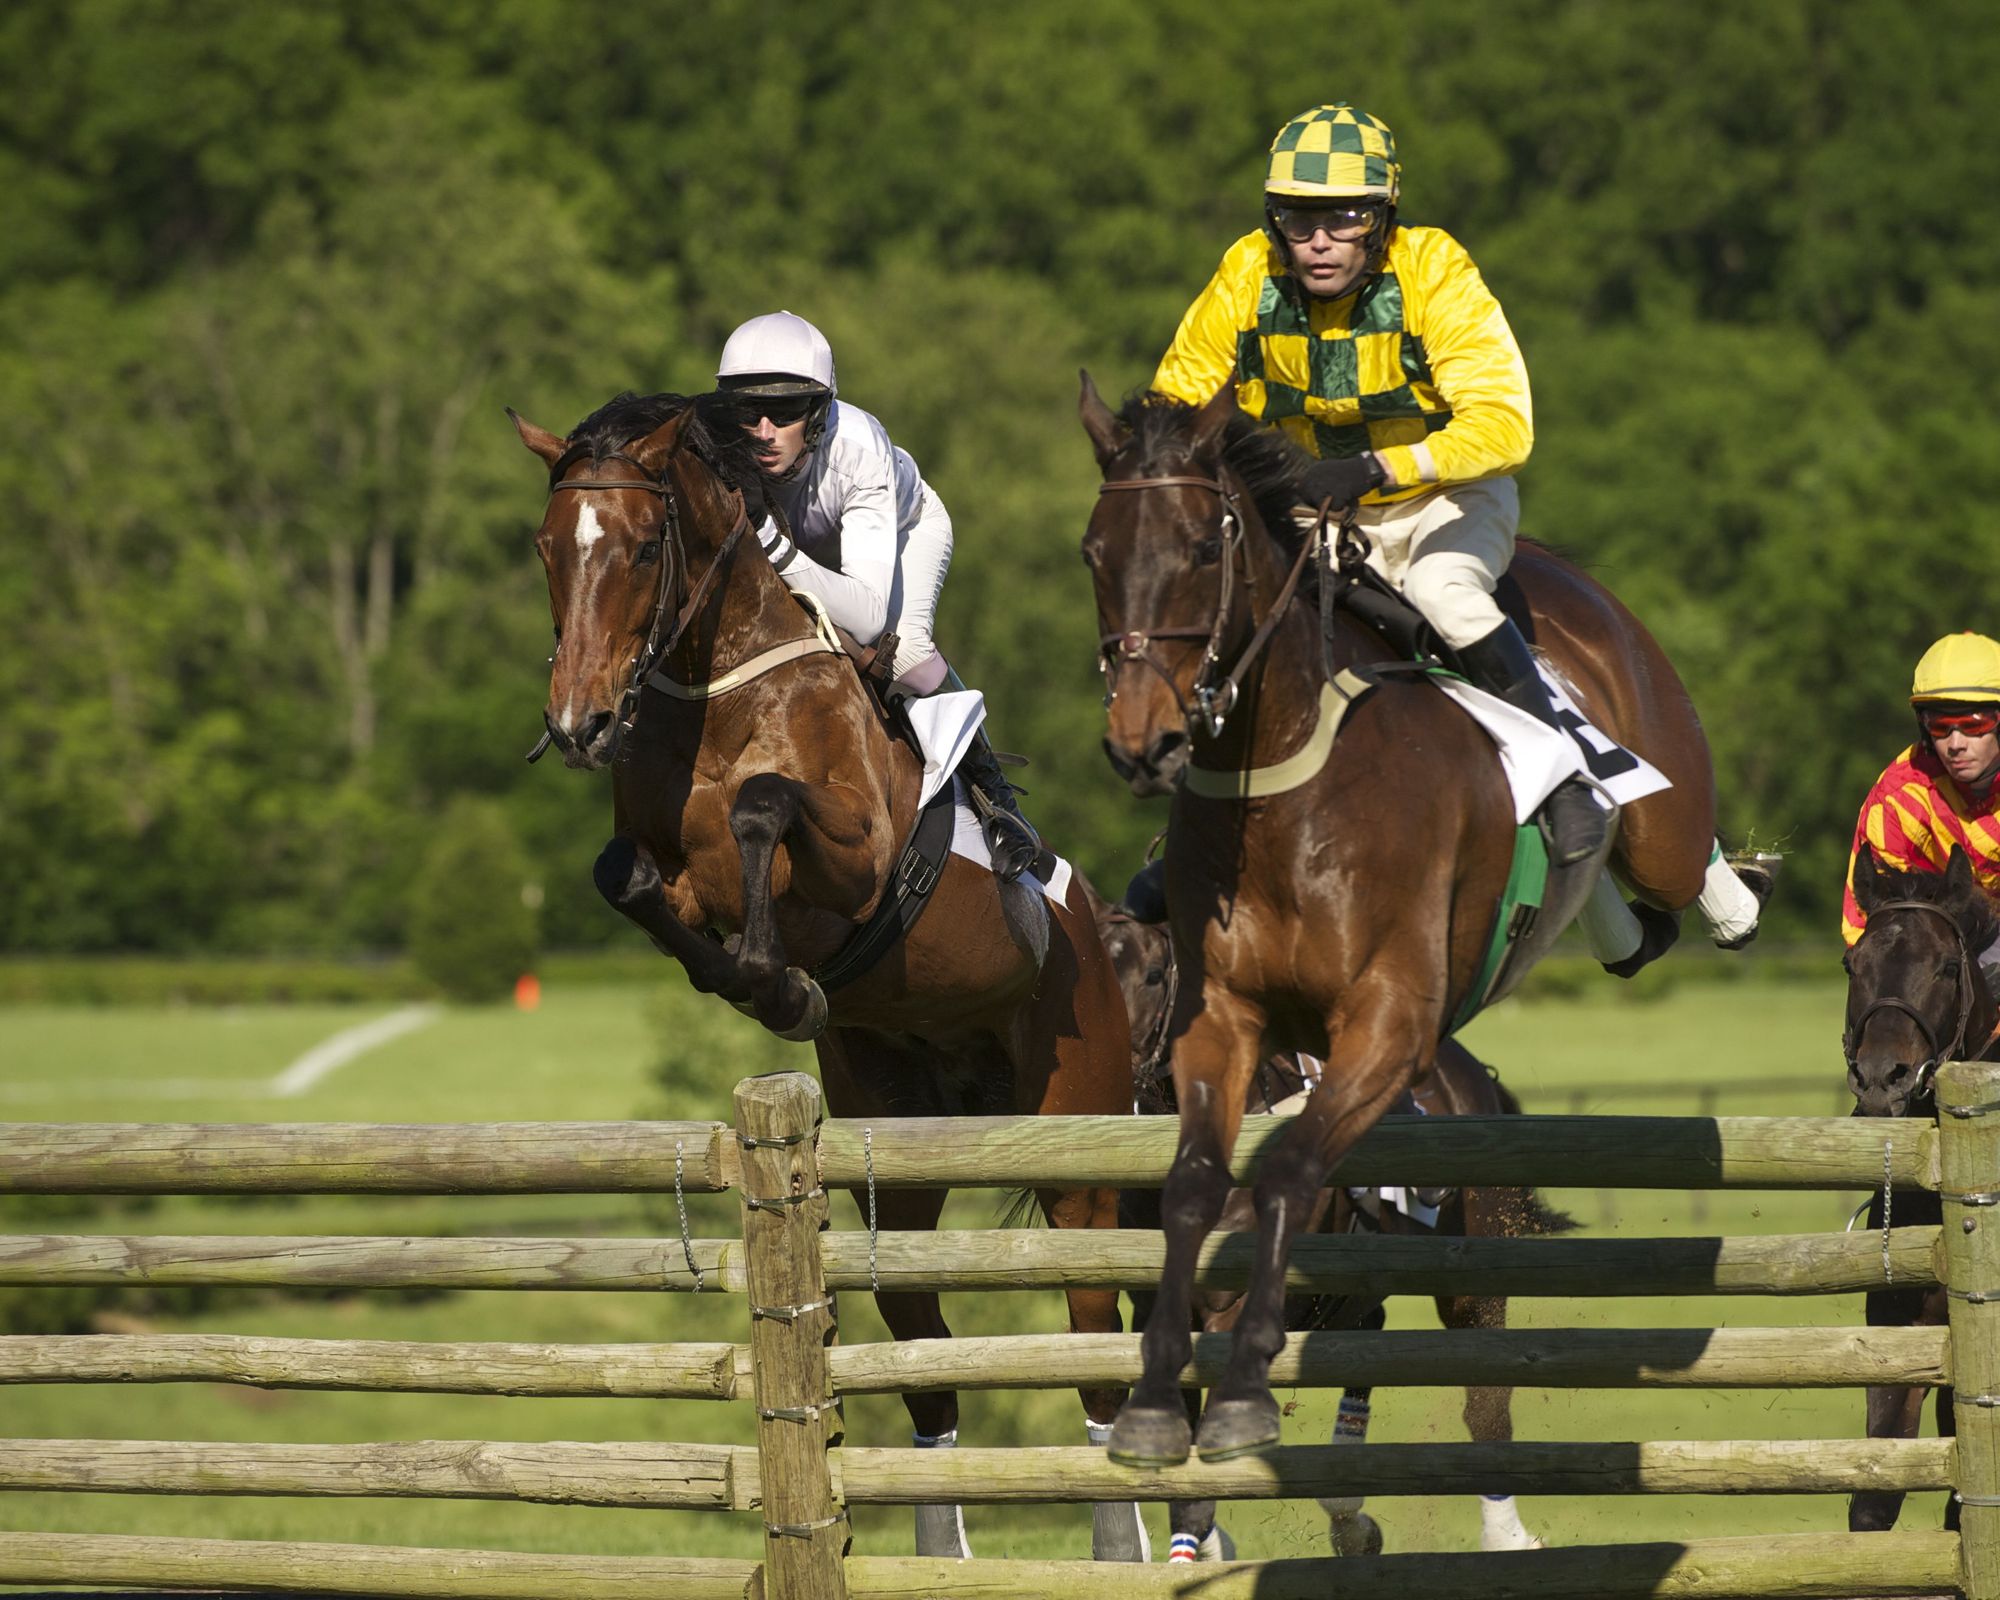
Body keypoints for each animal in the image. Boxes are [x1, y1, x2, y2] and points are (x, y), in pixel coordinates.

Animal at [511, 389, 1144, 1559]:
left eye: (641, 545)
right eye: (544, 546)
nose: (578, 726)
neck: (713, 685)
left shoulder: (859, 851)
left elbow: (765, 808)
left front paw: (776, 976)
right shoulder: (666, 873)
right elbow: (627, 876)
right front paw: (766, 986)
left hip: (1078, 1142)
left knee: (1093, 1341)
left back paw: (1119, 1545)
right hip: (898, 1150)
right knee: (923, 1350)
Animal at [1077, 379, 1724, 1465]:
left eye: (1202, 548)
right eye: (1094, 550)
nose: (1142, 740)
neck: (1284, 787)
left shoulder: (1386, 1022)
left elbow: (1286, 1170)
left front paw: (1246, 1387)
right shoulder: (1225, 1022)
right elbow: (1194, 1186)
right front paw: (1157, 1400)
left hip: (1663, 810)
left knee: (1671, 846)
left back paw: (1727, 896)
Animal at [1085, 870, 1574, 1557]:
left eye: (1154, 974)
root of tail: (1471, 1073)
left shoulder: (1237, 1304)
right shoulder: (1155, 1305)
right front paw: (1200, 1548)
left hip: (1470, 1283)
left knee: (1486, 1404)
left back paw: (1504, 1535)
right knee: (1366, 1341)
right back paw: (1349, 1517)